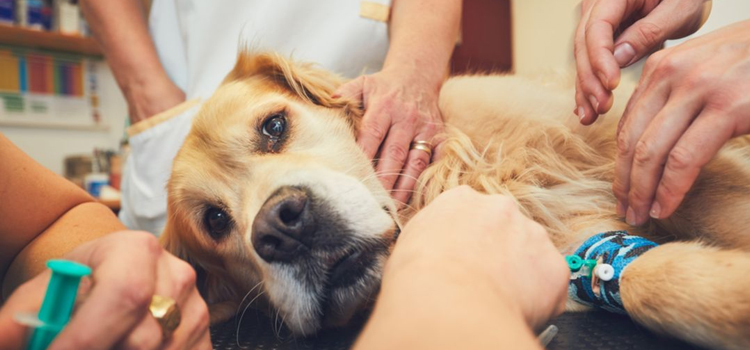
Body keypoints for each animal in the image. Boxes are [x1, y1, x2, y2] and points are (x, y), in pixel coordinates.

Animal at [163, 51, 750, 348]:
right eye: (215, 222)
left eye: (274, 126)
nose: (281, 228)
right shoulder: (576, 247)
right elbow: (650, 280)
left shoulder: (642, 150)